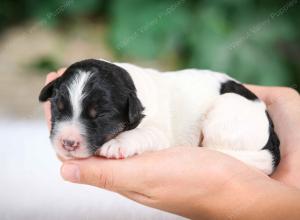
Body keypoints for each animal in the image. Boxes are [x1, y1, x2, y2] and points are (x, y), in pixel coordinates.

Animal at [38, 58, 280, 175]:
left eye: (101, 115)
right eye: (58, 107)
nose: (68, 143)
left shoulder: (158, 133)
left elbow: (142, 134)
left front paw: (117, 144)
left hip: (226, 109)